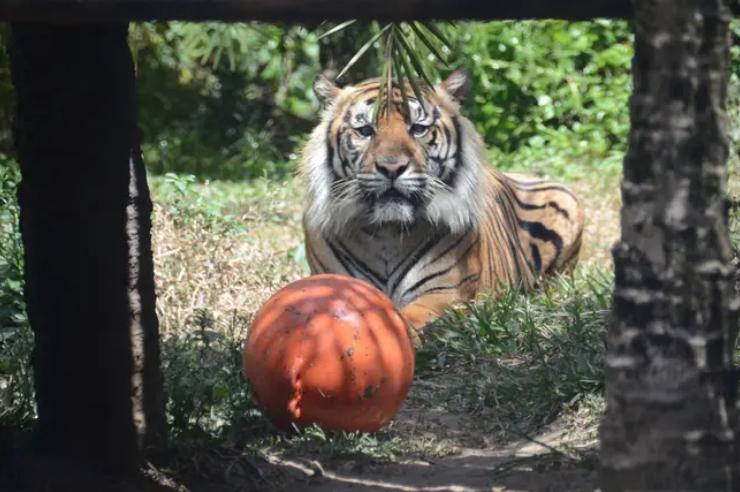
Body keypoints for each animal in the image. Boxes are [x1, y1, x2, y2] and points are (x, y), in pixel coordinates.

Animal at [300, 70, 584, 330]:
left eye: (418, 129)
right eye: (366, 131)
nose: (391, 168)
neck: (387, 233)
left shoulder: (445, 292)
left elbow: (410, 317)